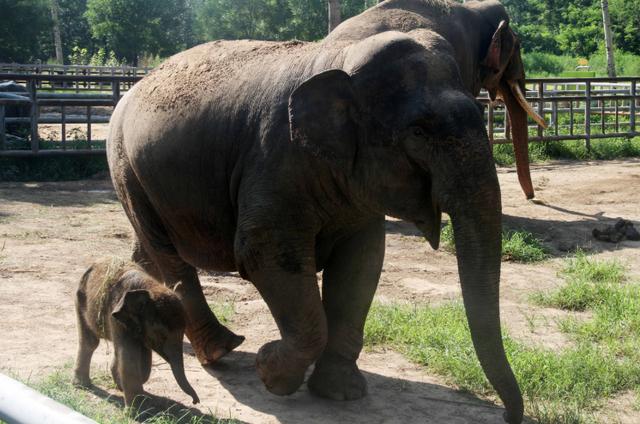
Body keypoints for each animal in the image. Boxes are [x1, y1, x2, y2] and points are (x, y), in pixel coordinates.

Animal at [72, 256, 199, 406]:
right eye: (161, 335)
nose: (195, 401)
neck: (151, 287)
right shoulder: (116, 317)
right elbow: (129, 355)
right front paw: (137, 409)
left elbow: (144, 357)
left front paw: (127, 388)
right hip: (80, 298)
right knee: (90, 342)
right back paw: (81, 385)